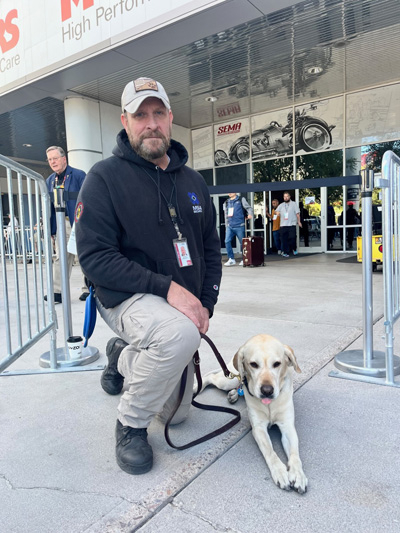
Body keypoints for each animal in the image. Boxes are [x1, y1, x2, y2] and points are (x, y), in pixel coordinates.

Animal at [198, 334, 308, 492]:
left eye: (277, 364)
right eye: (254, 364)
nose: (267, 390)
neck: (269, 405)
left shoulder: (287, 427)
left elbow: (294, 454)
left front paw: (298, 474)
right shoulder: (259, 428)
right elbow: (270, 451)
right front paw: (280, 472)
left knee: (238, 384)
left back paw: (234, 394)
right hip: (226, 381)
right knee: (211, 378)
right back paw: (196, 387)